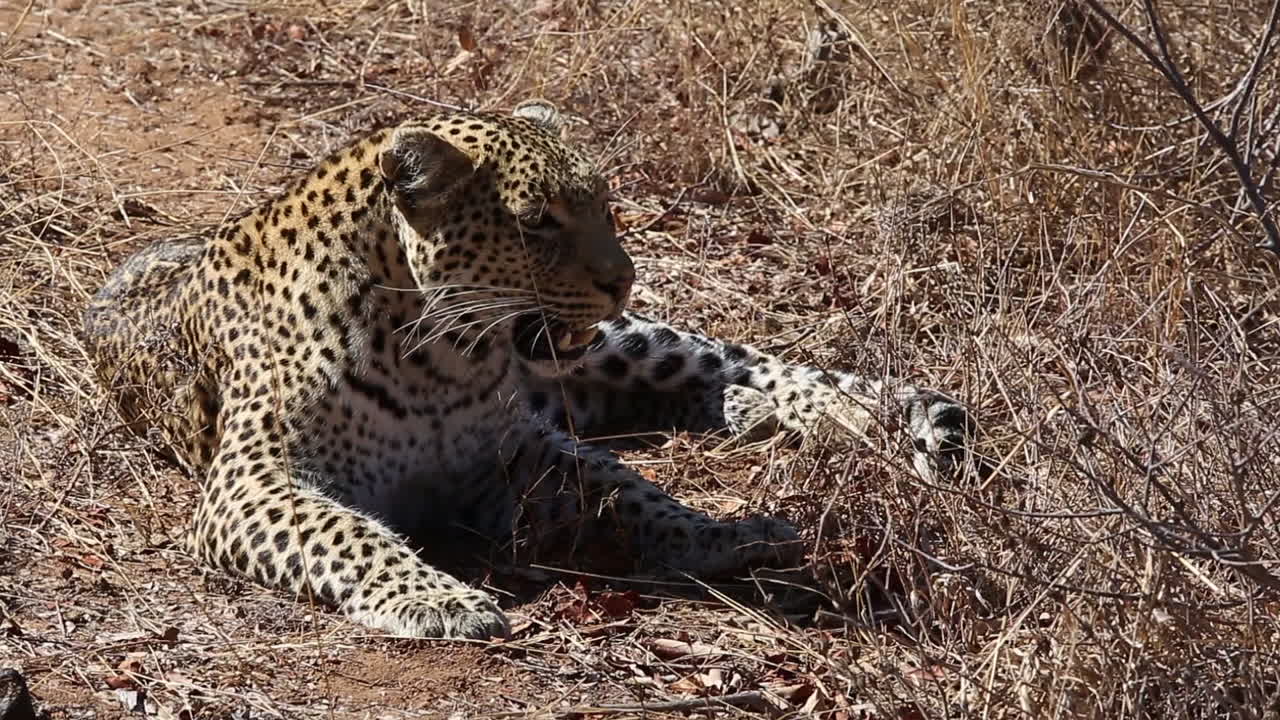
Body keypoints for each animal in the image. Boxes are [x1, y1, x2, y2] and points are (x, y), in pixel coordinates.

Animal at [82, 100, 971, 640]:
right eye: (538, 221)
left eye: (605, 206)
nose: (623, 276)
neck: (436, 359)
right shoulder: (253, 482)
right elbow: (347, 532)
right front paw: (438, 597)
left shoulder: (518, 455)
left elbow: (630, 492)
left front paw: (726, 533)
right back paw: (753, 415)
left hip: (624, 343)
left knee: (743, 362)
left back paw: (870, 418)